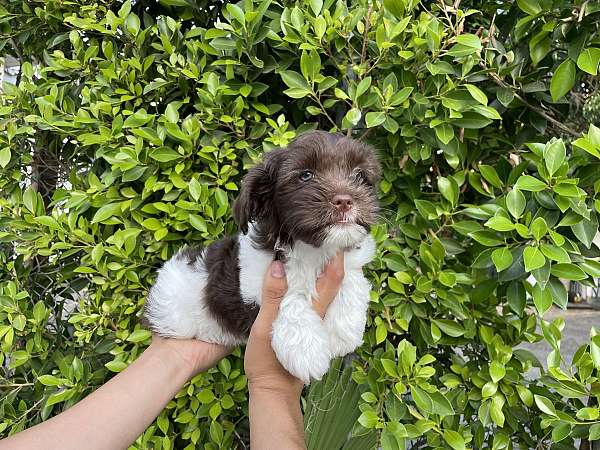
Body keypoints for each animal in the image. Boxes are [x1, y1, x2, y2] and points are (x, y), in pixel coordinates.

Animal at [144, 131, 380, 384]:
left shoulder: (348, 262)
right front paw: (306, 350)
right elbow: (289, 296)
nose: (345, 200)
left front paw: (342, 334)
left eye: (359, 175)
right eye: (306, 175)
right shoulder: (255, 280)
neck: (313, 249)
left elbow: (354, 280)